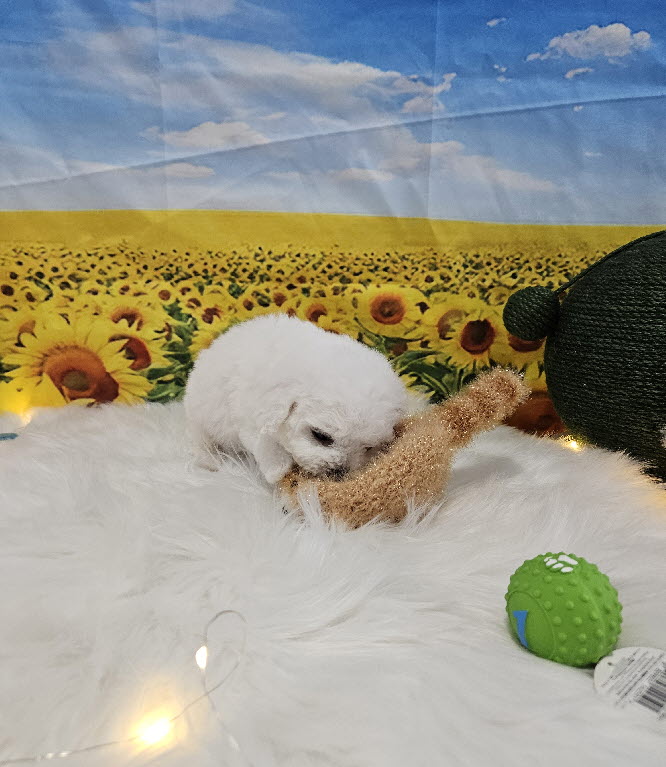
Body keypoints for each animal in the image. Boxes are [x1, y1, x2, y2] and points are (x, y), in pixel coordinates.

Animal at [184, 314, 409, 484]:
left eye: (368, 448)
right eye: (321, 436)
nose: (338, 472)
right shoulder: (253, 411)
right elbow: (265, 443)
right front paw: (277, 470)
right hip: (198, 415)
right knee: (200, 439)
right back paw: (210, 461)